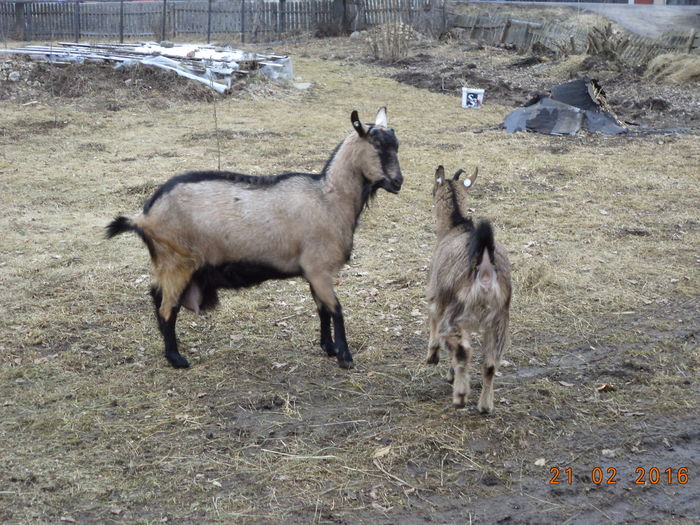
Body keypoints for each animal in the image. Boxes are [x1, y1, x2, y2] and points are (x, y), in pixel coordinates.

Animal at [106, 106, 402, 368]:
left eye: (396, 145)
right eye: (377, 146)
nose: (398, 182)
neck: (329, 198)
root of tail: (144, 216)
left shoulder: (314, 271)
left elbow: (322, 310)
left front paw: (328, 348)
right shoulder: (319, 268)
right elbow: (336, 310)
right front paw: (345, 357)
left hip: (170, 265)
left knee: (157, 299)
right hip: (177, 263)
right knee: (168, 309)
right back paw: (176, 359)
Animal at [424, 166, 512, 412]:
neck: (455, 226)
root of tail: (484, 268)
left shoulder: (437, 295)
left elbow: (433, 317)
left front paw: (433, 356)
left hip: (457, 312)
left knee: (463, 350)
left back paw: (461, 395)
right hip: (500, 318)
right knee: (490, 363)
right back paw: (485, 406)